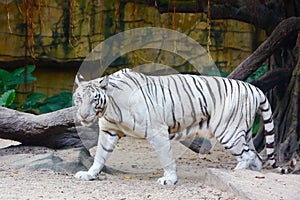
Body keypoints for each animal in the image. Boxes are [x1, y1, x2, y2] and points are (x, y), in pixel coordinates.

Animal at [73, 68, 296, 184]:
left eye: (94, 100)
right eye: (79, 98)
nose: (83, 115)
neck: (110, 107)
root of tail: (254, 88)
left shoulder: (157, 131)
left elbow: (166, 158)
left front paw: (169, 179)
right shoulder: (109, 131)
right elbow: (100, 155)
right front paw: (90, 174)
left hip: (229, 131)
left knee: (248, 156)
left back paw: (237, 173)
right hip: (244, 131)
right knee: (256, 157)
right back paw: (251, 175)